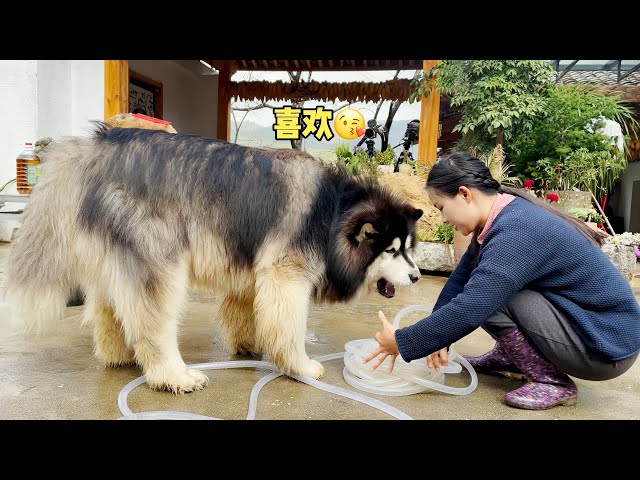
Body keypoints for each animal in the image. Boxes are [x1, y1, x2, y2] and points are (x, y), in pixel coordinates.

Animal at [7, 126, 424, 394]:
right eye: (391, 251)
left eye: (409, 248)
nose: (418, 277)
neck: (334, 209)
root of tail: (95, 149)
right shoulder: (286, 275)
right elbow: (289, 328)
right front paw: (298, 365)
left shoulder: (254, 269)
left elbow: (248, 311)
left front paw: (249, 346)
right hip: (162, 263)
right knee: (153, 323)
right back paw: (171, 375)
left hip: (113, 257)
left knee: (111, 310)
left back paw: (121, 356)